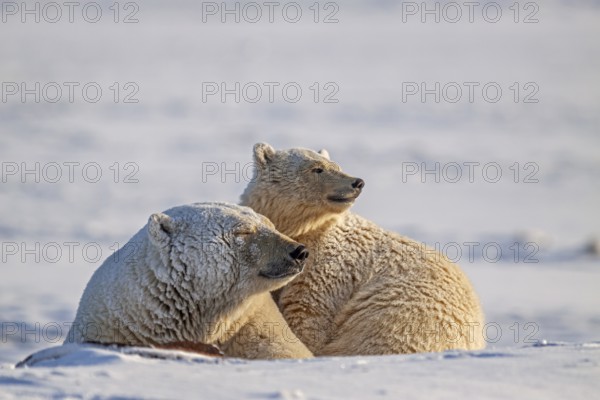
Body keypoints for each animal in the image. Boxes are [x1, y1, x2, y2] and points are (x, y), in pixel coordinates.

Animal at [241, 144, 486, 356]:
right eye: (317, 168)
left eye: (336, 165)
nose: (357, 182)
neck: (305, 230)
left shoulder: (329, 268)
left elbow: (307, 316)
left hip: (399, 317)